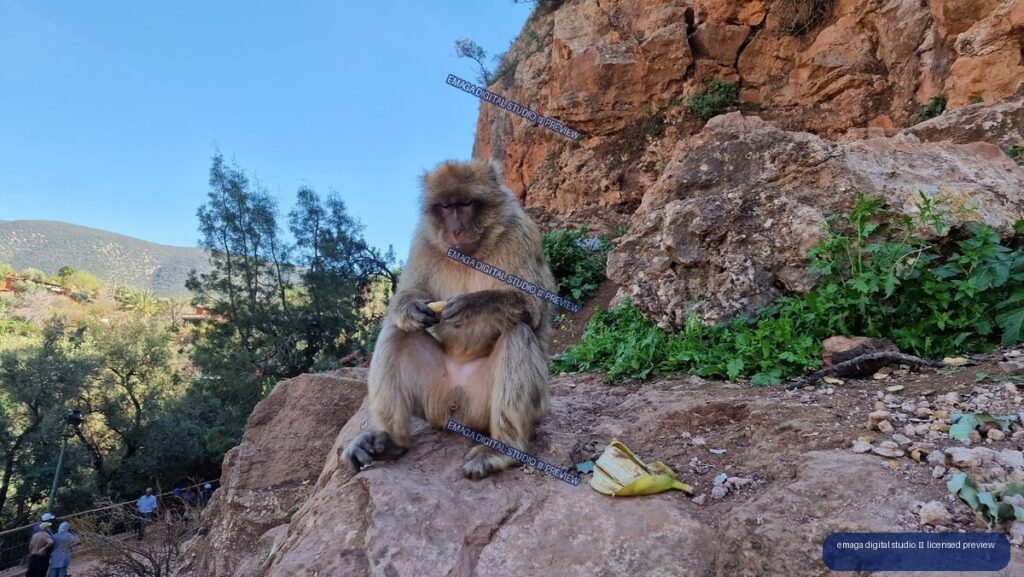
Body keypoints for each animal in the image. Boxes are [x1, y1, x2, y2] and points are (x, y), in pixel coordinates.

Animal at [342, 159, 555, 479]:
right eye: (445, 206)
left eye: (465, 204)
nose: (456, 229)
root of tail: (457, 410)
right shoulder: (423, 240)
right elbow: (408, 295)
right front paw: (411, 309)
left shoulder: (522, 234)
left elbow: (535, 306)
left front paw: (472, 305)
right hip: (434, 399)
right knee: (396, 332)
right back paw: (391, 441)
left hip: (489, 405)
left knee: (518, 333)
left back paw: (503, 448)